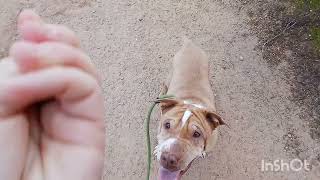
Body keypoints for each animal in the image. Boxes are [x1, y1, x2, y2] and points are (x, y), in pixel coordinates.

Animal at [154, 38, 225, 179]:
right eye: (167, 125)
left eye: (197, 134)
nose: (169, 159)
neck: (191, 102)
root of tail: (189, 44)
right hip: (170, 73)